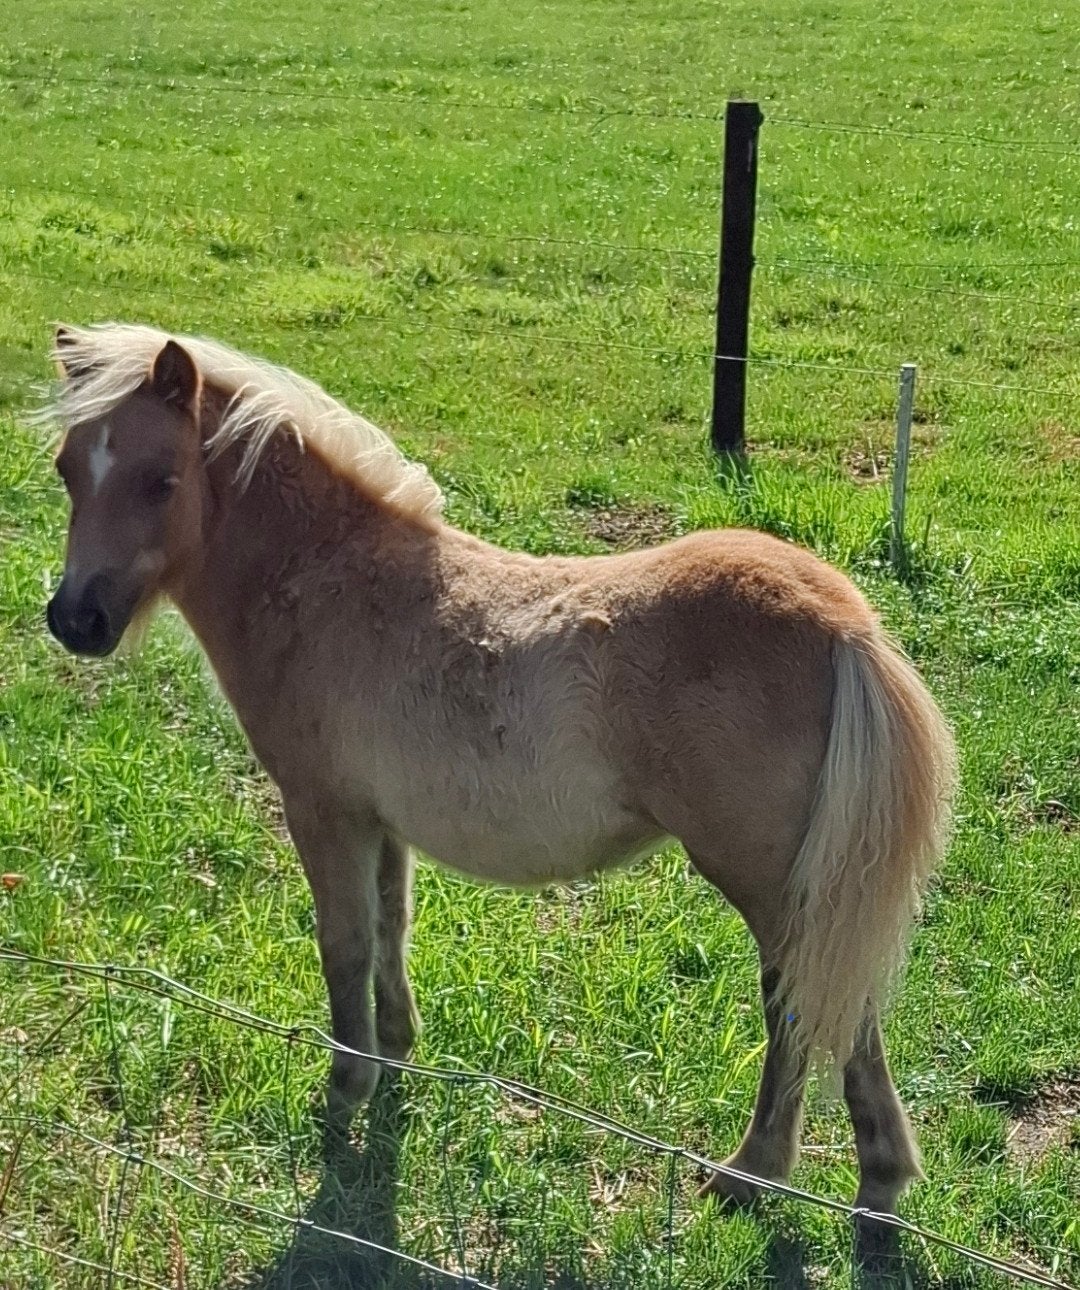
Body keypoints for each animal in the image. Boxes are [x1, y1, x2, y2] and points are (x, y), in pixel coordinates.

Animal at [43, 323, 955, 1219]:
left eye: (161, 480)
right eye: (66, 469)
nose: (76, 620)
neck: (326, 577)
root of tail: (844, 625)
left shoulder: (322, 810)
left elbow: (343, 944)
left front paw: (345, 1087)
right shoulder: (381, 821)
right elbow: (390, 928)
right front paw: (396, 1056)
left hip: (772, 883)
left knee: (802, 1000)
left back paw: (756, 1172)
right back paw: (875, 1180)